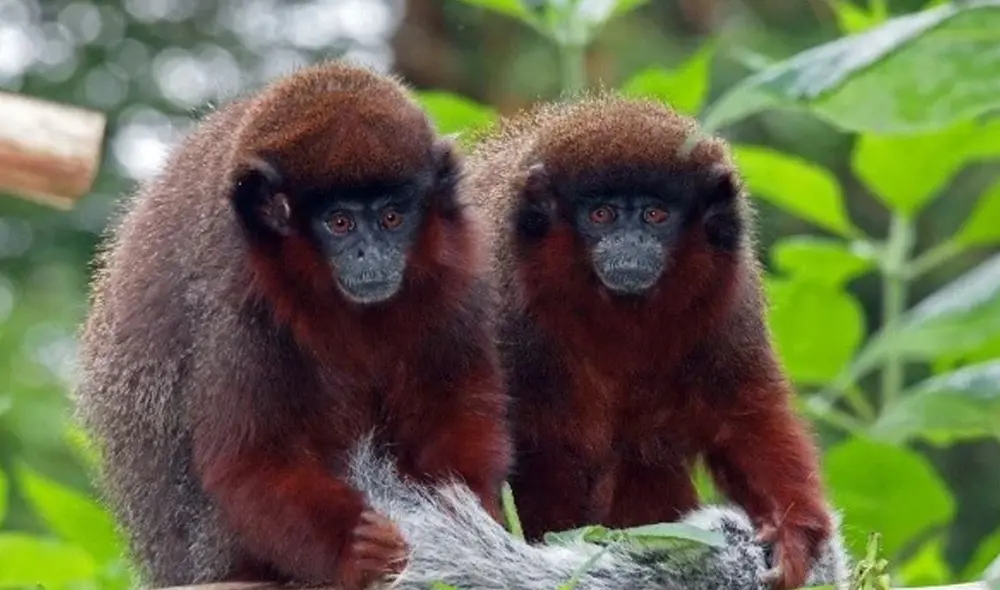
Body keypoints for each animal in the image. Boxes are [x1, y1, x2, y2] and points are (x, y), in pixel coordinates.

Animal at [73, 61, 511, 590]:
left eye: (391, 218)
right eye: (339, 223)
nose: (371, 254)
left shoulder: (457, 268)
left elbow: (456, 411)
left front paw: (465, 525)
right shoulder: (237, 300)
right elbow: (249, 462)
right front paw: (359, 551)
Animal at [463, 95, 833, 590]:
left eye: (655, 215)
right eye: (602, 215)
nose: (630, 241)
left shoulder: (729, 301)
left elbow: (743, 414)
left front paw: (793, 533)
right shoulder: (500, 298)